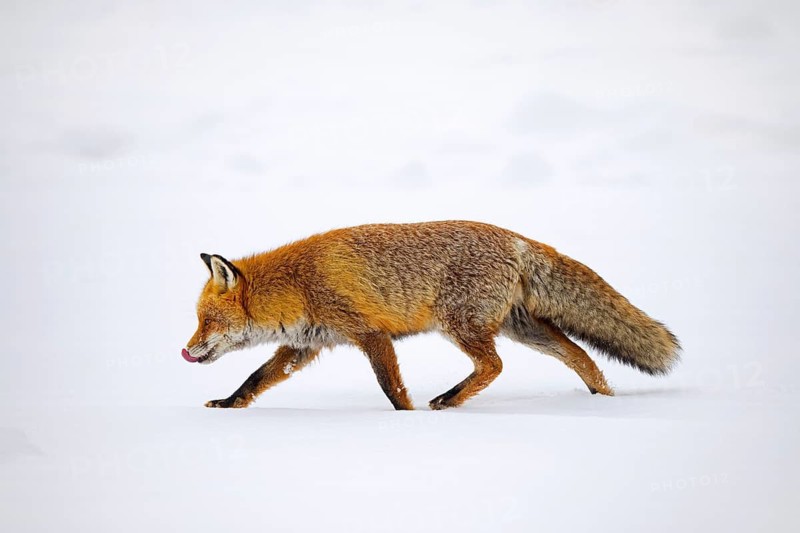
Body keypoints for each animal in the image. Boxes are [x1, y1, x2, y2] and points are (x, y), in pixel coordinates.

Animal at [182, 221, 680, 410]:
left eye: (207, 321)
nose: (185, 351)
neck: (297, 285)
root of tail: (517, 238)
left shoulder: (370, 333)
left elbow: (391, 386)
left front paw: (407, 420)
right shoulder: (305, 345)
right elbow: (255, 379)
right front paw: (228, 404)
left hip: (460, 324)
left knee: (494, 365)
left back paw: (449, 399)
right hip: (521, 328)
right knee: (579, 355)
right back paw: (604, 401)